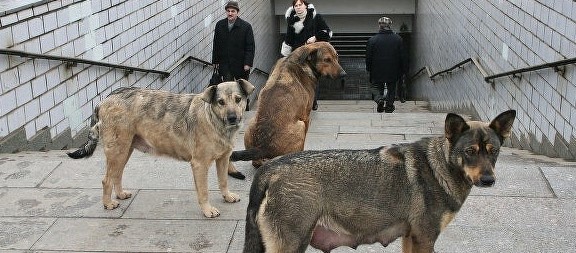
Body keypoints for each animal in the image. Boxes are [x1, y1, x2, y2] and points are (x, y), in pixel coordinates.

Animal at [67, 80, 254, 217]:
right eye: (220, 102)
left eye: (238, 99)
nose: (232, 118)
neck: (213, 120)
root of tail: (104, 99)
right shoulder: (200, 164)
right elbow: (204, 191)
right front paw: (208, 210)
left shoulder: (223, 159)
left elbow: (223, 181)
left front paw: (227, 196)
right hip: (117, 150)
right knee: (106, 179)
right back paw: (108, 204)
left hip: (125, 150)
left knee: (117, 175)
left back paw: (120, 194)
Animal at [230, 42, 346, 172]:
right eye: (326, 59)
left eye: (336, 56)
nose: (344, 74)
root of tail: (262, 147)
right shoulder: (306, 117)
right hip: (300, 125)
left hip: (250, 123)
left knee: (256, 163)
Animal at [243, 109, 516, 252]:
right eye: (470, 151)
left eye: (494, 151)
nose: (488, 180)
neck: (440, 167)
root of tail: (270, 168)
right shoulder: (425, 238)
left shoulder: (411, 238)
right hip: (293, 244)